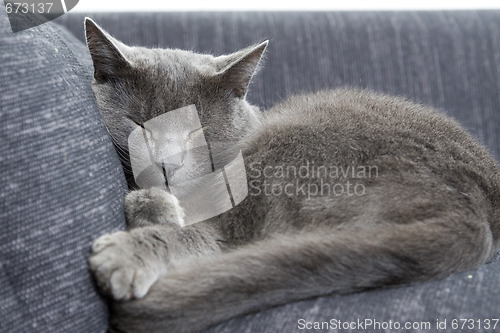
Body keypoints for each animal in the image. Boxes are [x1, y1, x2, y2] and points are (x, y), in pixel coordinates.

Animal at [84, 17, 500, 332]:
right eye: (140, 124)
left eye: (197, 130)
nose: (168, 163)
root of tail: (473, 212)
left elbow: (200, 234)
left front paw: (135, 237)